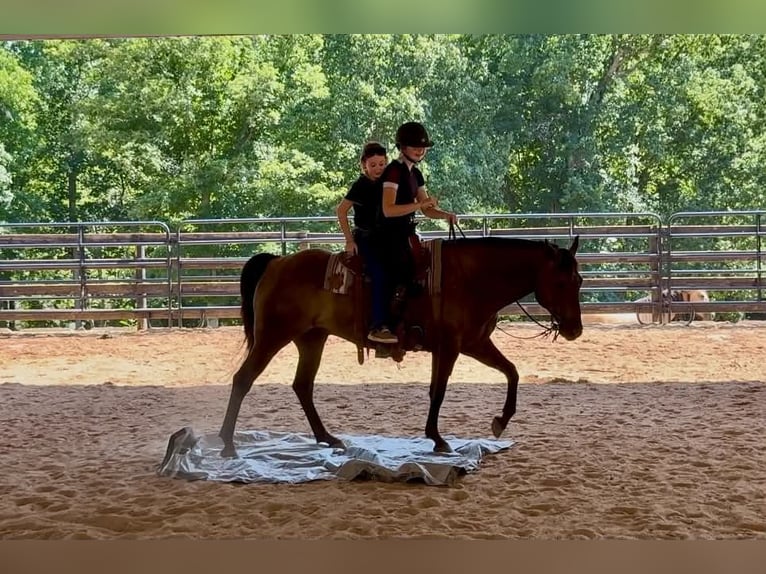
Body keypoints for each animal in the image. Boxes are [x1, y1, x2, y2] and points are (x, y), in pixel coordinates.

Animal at [219, 236, 584, 455]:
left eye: (579, 280)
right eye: (561, 282)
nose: (575, 329)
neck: (471, 278)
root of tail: (277, 262)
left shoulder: (475, 342)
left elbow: (512, 372)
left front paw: (500, 421)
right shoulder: (451, 346)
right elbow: (438, 391)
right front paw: (437, 439)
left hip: (311, 339)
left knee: (302, 386)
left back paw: (327, 438)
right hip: (272, 336)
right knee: (243, 380)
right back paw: (227, 445)